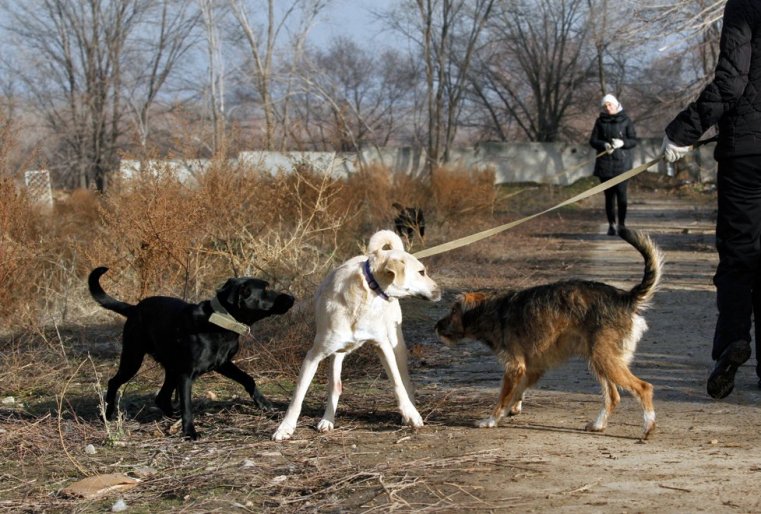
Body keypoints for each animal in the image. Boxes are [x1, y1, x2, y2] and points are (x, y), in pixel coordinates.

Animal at [87, 266, 292, 438]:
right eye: (266, 290)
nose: (292, 298)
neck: (218, 322)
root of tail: (134, 308)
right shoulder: (186, 374)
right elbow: (187, 405)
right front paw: (189, 432)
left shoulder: (222, 364)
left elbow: (248, 379)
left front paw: (264, 403)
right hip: (133, 358)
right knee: (114, 382)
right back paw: (107, 414)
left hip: (170, 368)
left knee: (161, 397)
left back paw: (171, 416)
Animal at [272, 229, 440, 440]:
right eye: (421, 272)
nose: (439, 291)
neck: (366, 292)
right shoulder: (314, 355)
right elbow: (298, 396)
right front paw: (285, 428)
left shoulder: (383, 346)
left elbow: (397, 383)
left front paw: (410, 414)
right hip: (336, 354)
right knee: (335, 386)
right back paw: (327, 420)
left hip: (397, 345)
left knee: (405, 380)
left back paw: (409, 411)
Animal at [436, 228, 664, 436]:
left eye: (453, 310)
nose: (436, 327)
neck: (494, 310)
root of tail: (625, 297)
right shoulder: (532, 368)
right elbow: (517, 392)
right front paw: (512, 409)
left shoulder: (514, 367)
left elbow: (503, 398)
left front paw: (491, 420)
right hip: (600, 361)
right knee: (613, 396)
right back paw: (598, 424)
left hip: (605, 360)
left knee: (644, 387)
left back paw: (648, 426)